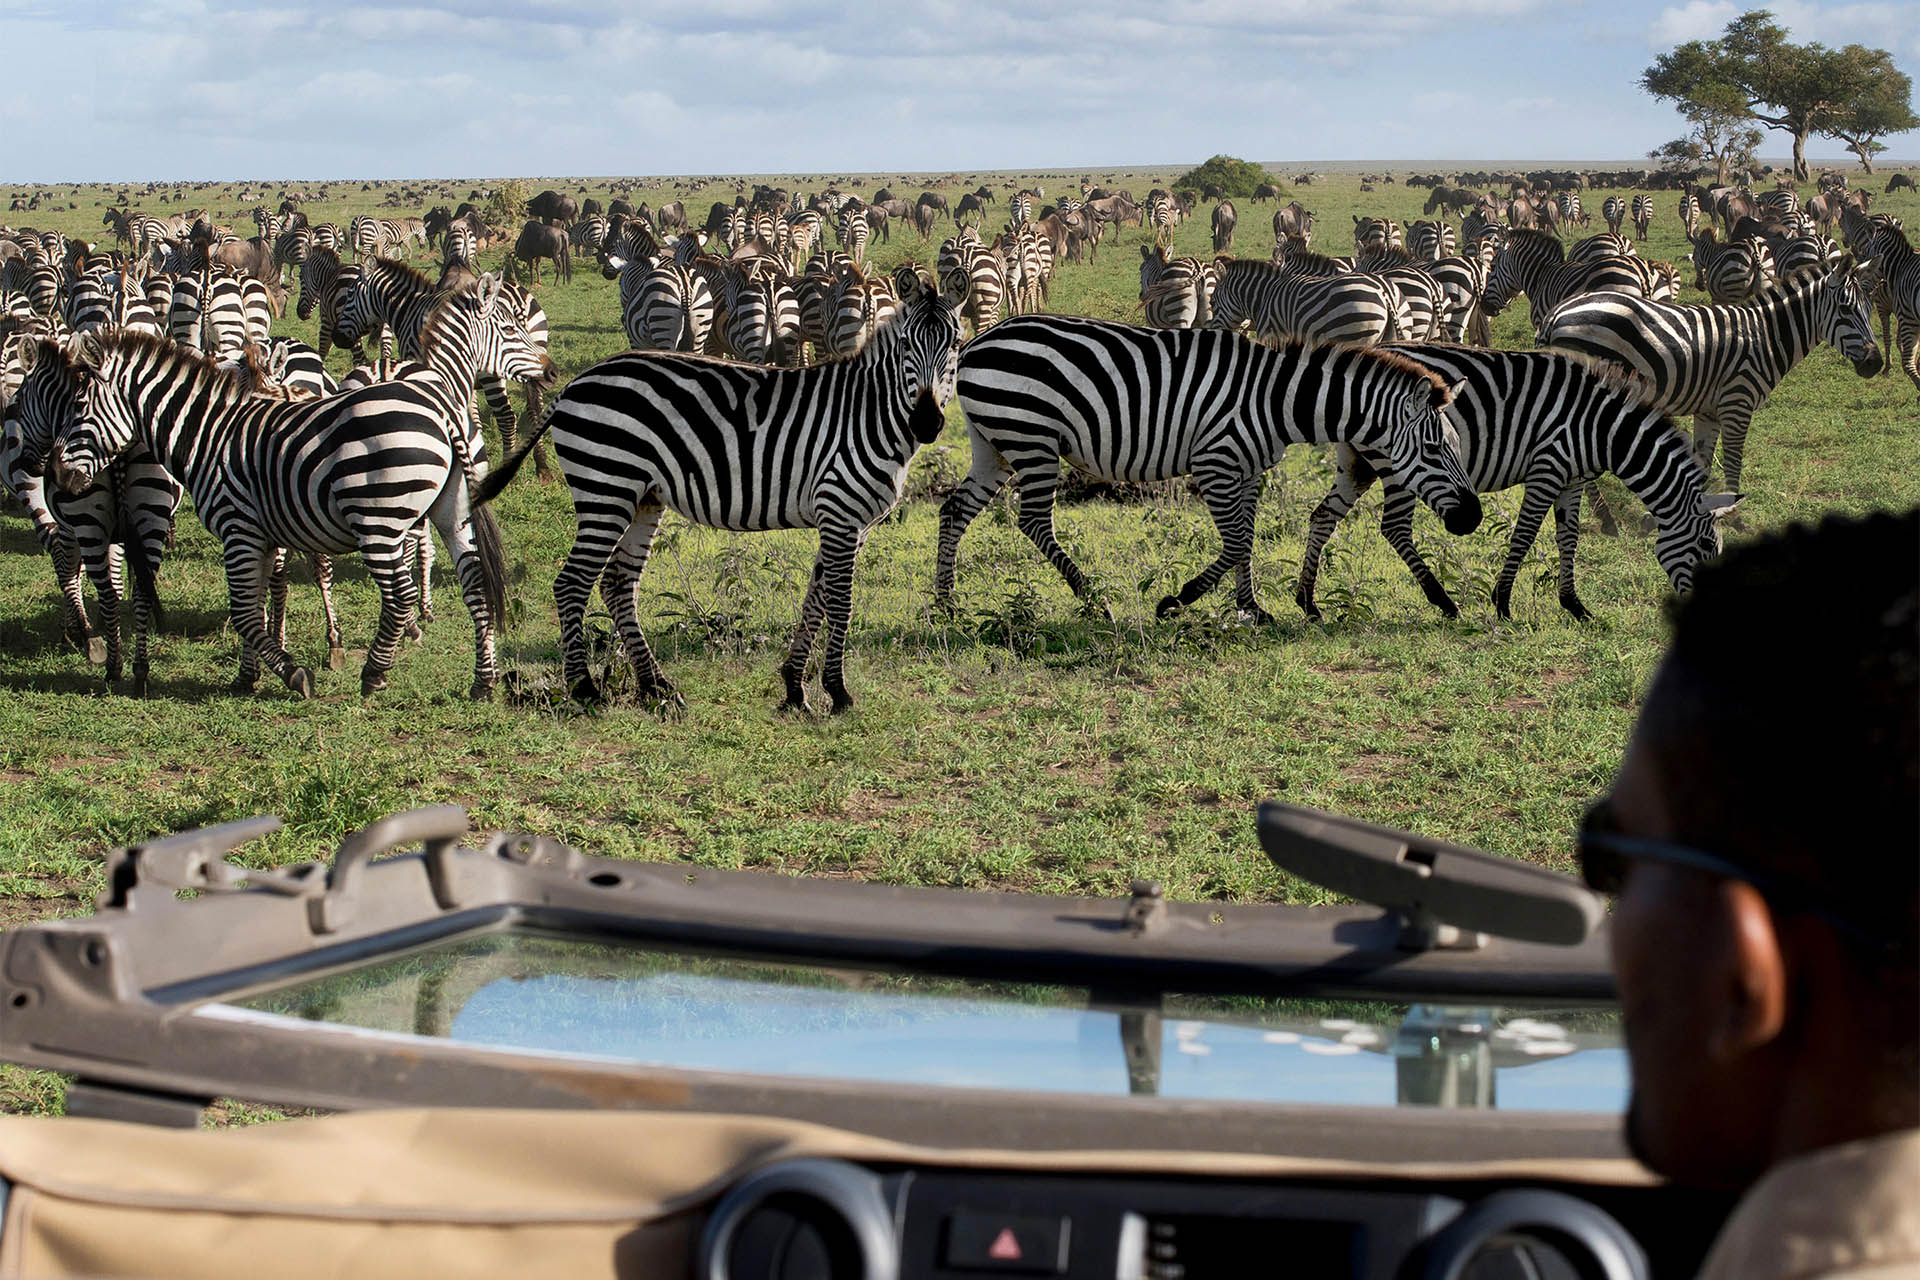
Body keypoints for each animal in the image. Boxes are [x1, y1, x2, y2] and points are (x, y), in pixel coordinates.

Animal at [474, 264, 967, 717]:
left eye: (956, 345)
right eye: (906, 345)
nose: (927, 423)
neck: (867, 413)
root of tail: (576, 384)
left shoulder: (849, 521)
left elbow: (816, 598)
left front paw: (794, 686)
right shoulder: (840, 512)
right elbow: (840, 603)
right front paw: (838, 692)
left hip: (642, 497)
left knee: (617, 583)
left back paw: (656, 686)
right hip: (606, 489)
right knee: (572, 583)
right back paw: (585, 690)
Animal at [936, 318, 1474, 621]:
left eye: (1454, 444)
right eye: (1431, 448)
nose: (1471, 518)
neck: (1276, 401)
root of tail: (977, 342)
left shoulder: (1250, 471)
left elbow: (1247, 539)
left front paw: (1252, 608)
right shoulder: (1215, 464)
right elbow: (1234, 542)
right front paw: (1177, 600)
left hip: (994, 444)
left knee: (953, 510)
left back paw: (946, 606)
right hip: (1032, 438)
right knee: (1032, 521)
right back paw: (1092, 600)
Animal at [1290, 345, 1743, 625]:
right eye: (1706, 546)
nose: (1709, 614)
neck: (1603, 429)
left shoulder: (1573, 480)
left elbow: (1569, 538)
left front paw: (1574, 606)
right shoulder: (1547, 468)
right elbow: (1524, 535)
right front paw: (1504, 604)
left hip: (1357, 465)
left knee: (1322, 516)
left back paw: (1308, 602)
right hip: (1402, 465)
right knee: (1395, 528)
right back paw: (1444, 602)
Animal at [1536, 257, 1881, 491]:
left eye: (1868, 309)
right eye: (1846, 310)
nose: (1876, 364)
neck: (1766, 336)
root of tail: (1556, 314)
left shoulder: (1709, 410)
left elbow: (1702, 463)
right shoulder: (1737, 402)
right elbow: (1733, 462)